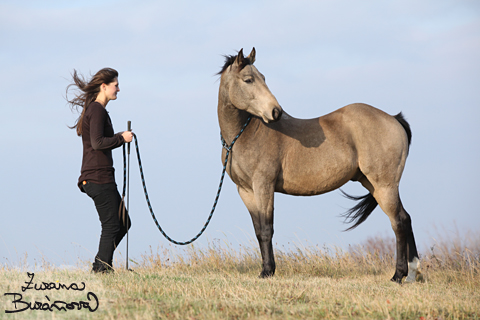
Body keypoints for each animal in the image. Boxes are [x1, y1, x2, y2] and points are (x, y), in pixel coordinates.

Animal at [218, 47, 420, 282]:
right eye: (249, 79)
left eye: (263, 78)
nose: (276, 112)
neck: (245, 135)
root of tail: (393, 118)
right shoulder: (246, 191)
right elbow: (259, 231)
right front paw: (266, 269)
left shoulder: (263, 186)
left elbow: (267, 229)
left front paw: (268, 271)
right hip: (374, 184)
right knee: (406, 218)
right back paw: (412, 272)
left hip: (385, 185)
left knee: (399, 222)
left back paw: (398, 275)